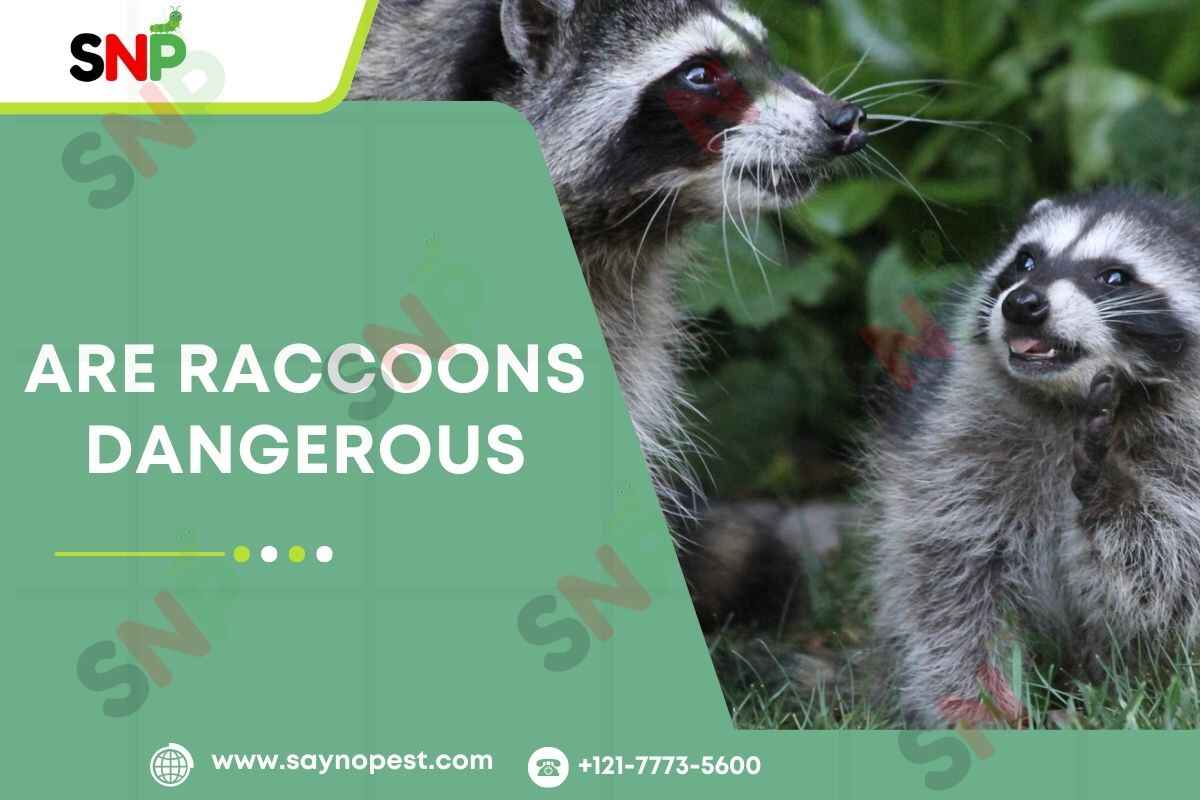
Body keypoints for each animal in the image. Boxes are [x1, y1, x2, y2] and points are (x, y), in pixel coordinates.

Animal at [867, 189, 1200, 728]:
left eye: (1114, 277)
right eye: (1025, 262)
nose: (1022, 303)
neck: (1069, 400)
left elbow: (1171, 571)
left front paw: (1112, 487)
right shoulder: (956, 444)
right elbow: (952, 582)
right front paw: (982, 704)